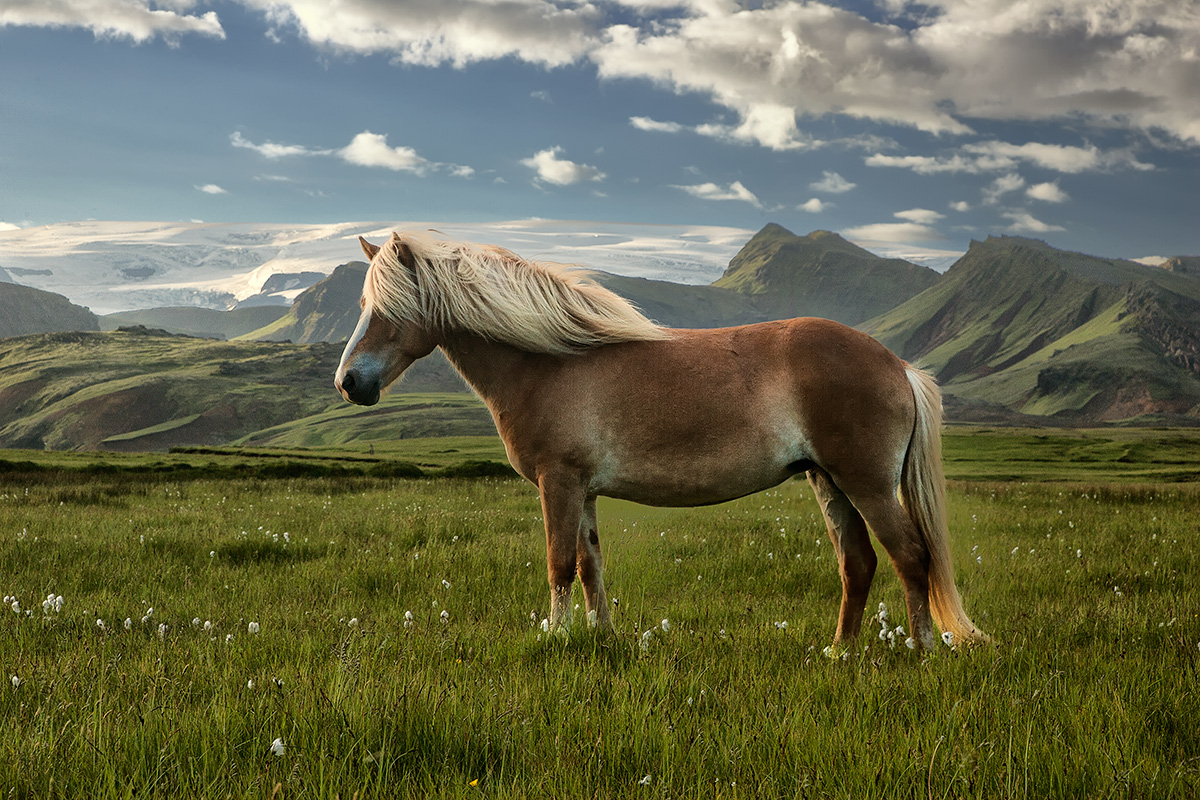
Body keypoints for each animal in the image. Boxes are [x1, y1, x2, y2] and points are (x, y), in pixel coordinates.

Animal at [336, 231, 984, 652]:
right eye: (362, 305)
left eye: (387, 308)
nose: (348, 383)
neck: (550, 361)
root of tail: (898, 365)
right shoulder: (583, 490)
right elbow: (591, 564)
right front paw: (601, 638)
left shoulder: (558, 482)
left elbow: (559, 564)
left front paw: (556, 638)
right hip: (829, 483)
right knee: (858, 563)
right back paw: (839, 653)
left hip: (867, 485)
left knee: (911, 556)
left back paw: (922, 651)